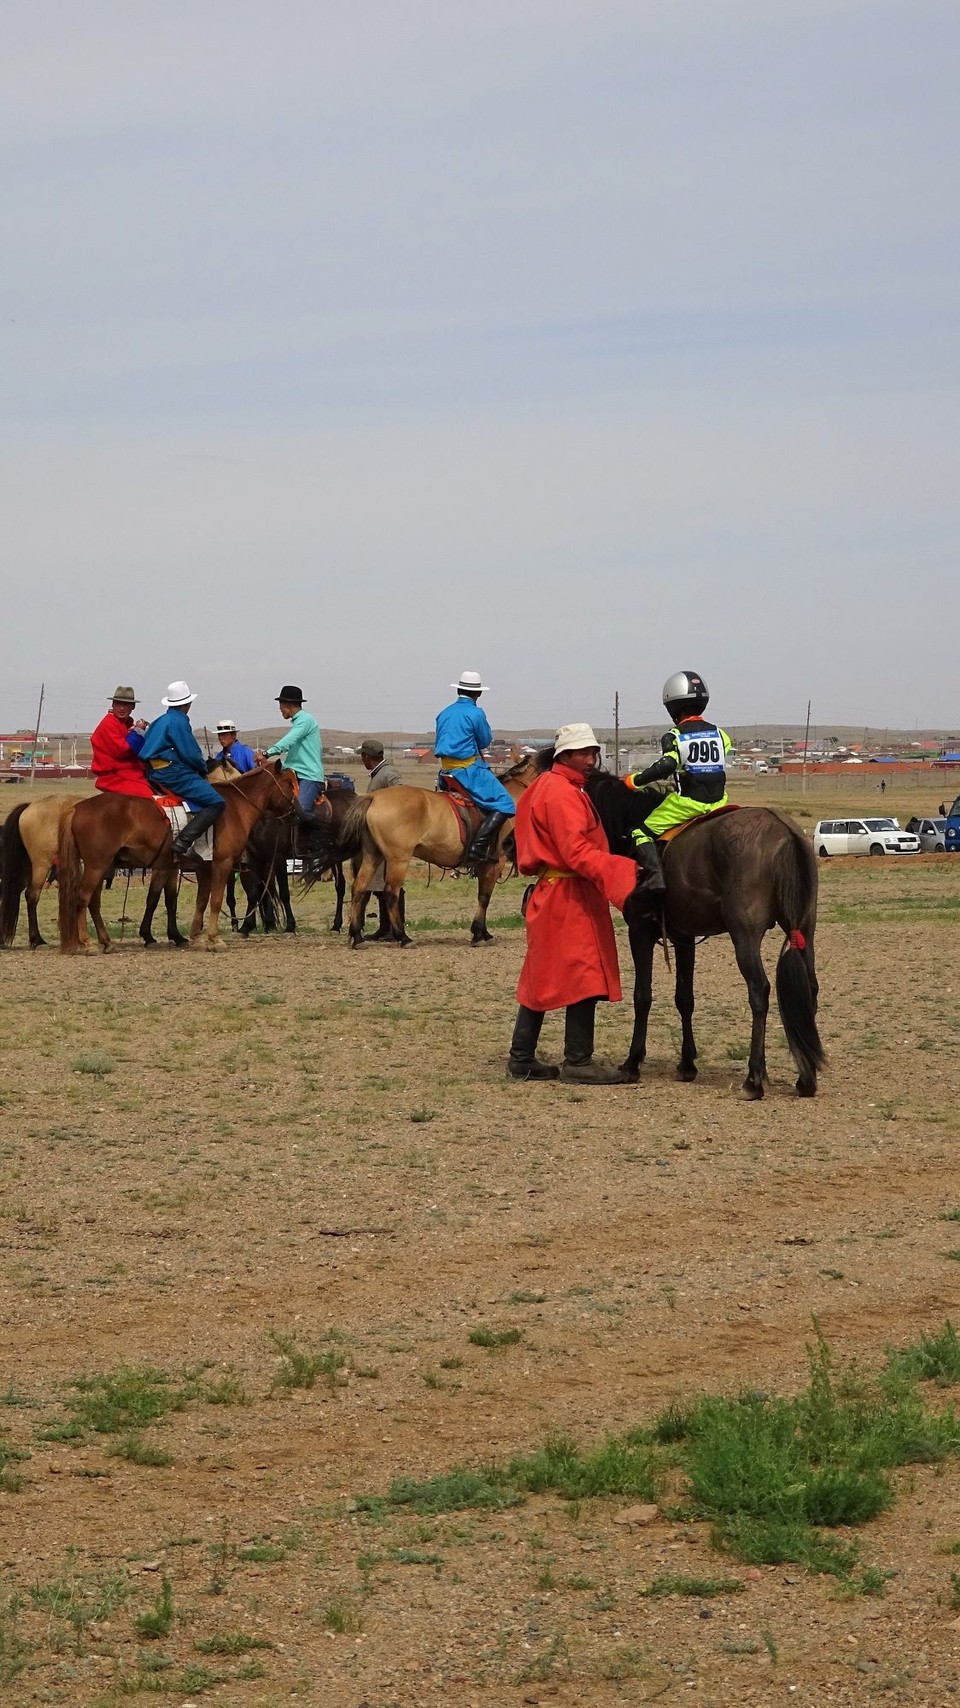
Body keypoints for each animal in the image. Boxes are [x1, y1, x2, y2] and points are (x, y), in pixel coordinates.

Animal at [56, 765, 295, 956]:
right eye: (290, 783)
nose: (296, 812)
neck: (235, 808)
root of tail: (77, 807)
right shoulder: (222, 864)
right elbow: (216, 900)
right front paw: (214, 939)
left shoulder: (203, 867)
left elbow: (201, 901)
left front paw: (196, 937)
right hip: (96, 866)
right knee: (82, 899)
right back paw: (88, 944)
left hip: (102, 866)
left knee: (93, 903)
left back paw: (107, 942)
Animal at [326, 758, 539, 949]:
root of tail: (373, 798)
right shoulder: (495, 862)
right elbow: (485, 897)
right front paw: (479, 933)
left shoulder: (484, 864)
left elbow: (483, 895)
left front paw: (483, 932)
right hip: (398, 860)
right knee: (390, 893)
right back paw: (403, 937)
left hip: (373, 856)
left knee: (359, 888)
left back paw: (357, 937)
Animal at [584, 772, 823, 1099]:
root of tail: (784, 831)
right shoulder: (684, 939)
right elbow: (684, 998)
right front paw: (687, 1064)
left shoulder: (640, 932)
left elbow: (642, 996)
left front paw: (632, 1062)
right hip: (804, 930)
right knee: (809, 988)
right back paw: (805, 1078)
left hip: (745, 936)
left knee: (759, 990)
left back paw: (753, 1079)